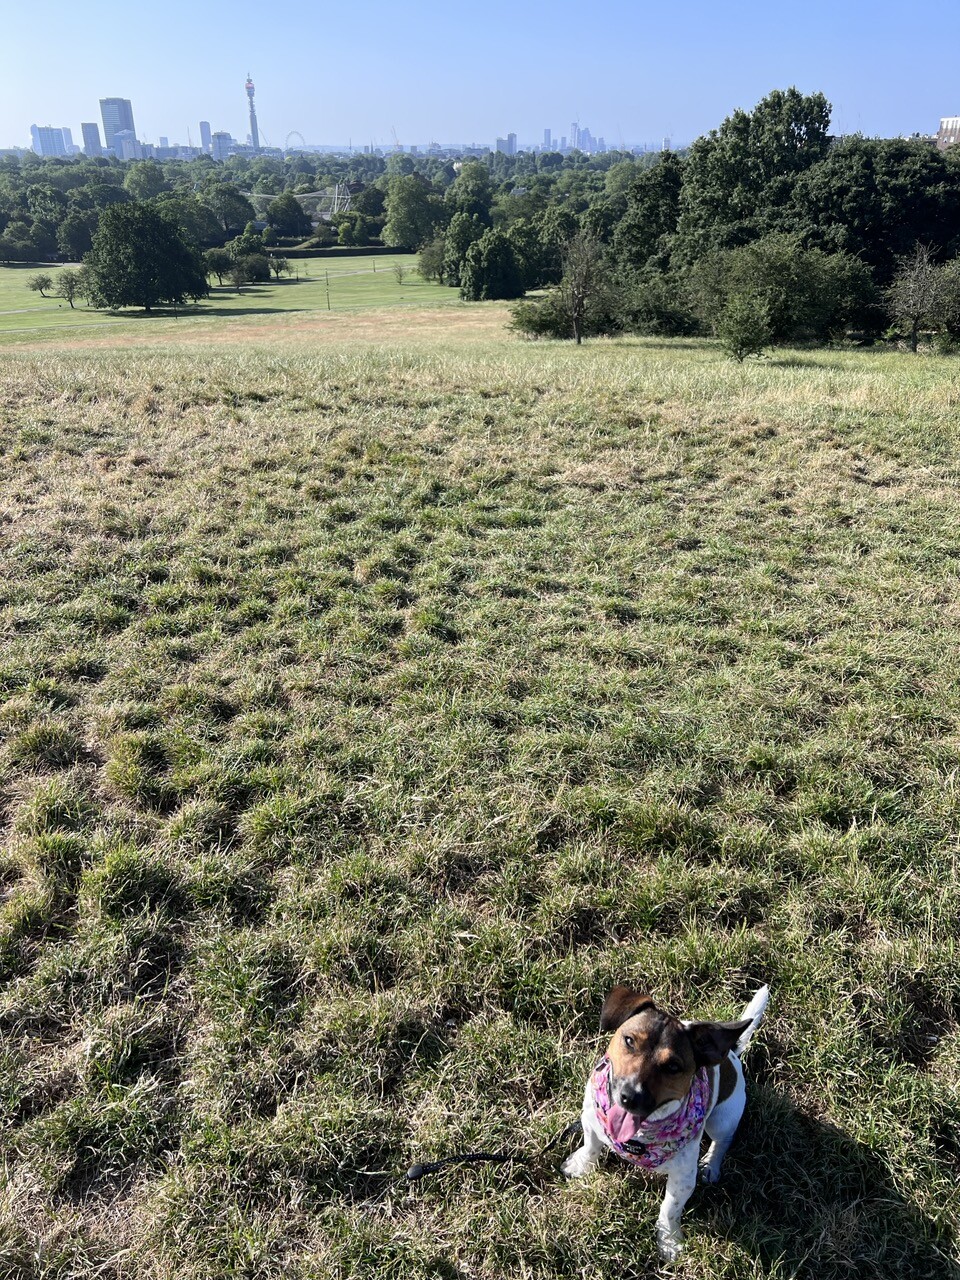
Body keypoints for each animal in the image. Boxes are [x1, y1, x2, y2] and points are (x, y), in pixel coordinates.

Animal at [563, 983, 769, 1261]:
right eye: (629, 1041)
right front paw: (580, 1166)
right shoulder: (590, 1118)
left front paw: (669, 1240)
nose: (630, 1096)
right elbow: (591, 1146)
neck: (640, 1138)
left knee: (722, 1142)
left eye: (673, 1066)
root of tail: (731, 1053)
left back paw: (711, 1165)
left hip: (722, 1119)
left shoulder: (683, 1177)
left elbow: (670, 1208)